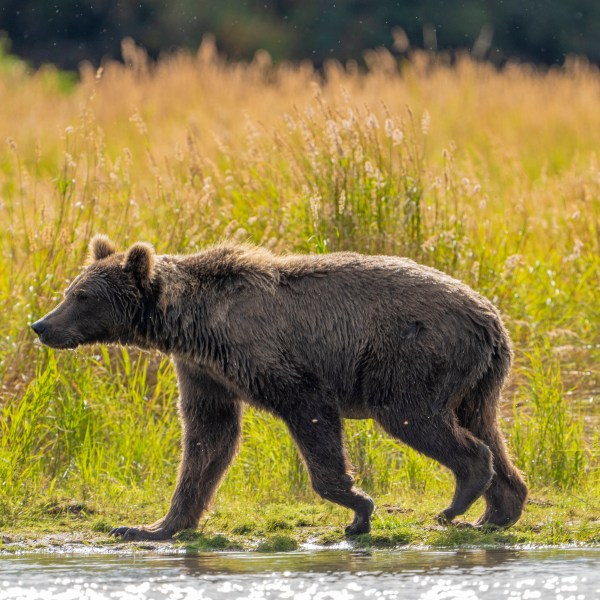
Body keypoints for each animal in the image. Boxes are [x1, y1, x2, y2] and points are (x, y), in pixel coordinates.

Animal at [30, 234, 528, 540]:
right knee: (485, 426)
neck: (191, 324)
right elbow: (208, 439)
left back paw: (457, 502)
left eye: (81, 296)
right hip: (479, 377)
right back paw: (496, 511)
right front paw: (152, 526)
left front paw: (358, 509)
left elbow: (309, 414)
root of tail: (490, 316)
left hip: (414, 355)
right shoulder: (204, 371)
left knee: (415, 416)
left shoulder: (270, 357)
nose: (41, 325)